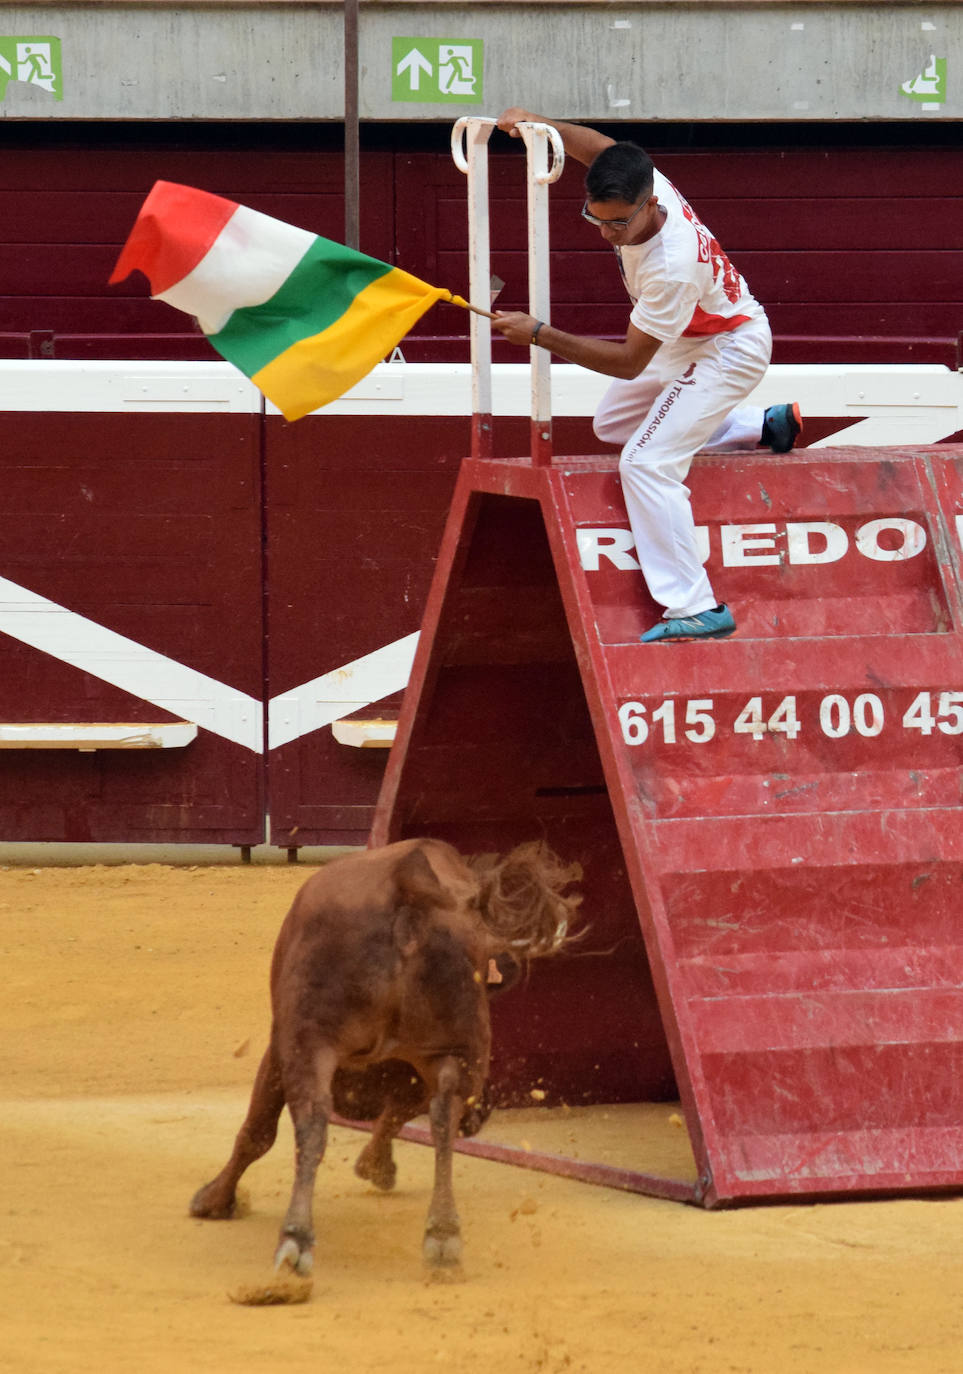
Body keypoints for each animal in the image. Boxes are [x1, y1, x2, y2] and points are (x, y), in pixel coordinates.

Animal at [188, 835, 579, 1275]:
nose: (480, 1118)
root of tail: (410, 892)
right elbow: (403, 1113)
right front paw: (378, 1167)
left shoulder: (279, 1043)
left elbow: (257, 1130)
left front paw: (213, 1200)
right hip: (461, 1048)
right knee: (443, 1114)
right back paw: (443, 1233)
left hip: (308, 1038)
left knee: (310, 1119)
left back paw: (295, 1238)